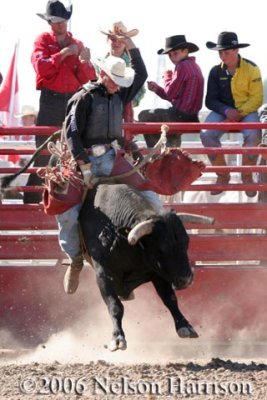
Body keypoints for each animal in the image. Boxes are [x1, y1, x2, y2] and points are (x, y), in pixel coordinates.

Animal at [79, 183, 214, 352]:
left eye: (186, 242)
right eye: (162, 249)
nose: (187, 279)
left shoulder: (157, 273)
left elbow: (170, 299)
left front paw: (185, 326)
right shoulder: (103, 275)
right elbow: (115, 305)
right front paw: (117, 338)